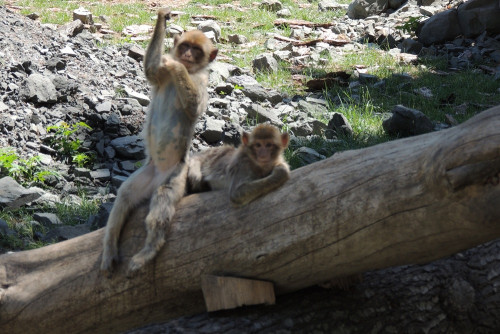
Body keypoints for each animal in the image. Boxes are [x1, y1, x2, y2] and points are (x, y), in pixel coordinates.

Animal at [100, 8, 218, 276]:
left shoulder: (202, 82)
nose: (186, 55)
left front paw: (176, 65)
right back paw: (110, 247)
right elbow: (151, 70)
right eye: (185, 46)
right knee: (124, 197)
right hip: (147, 173)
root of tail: (158, 174)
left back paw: (148, 252)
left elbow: (195, 108)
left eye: (196, 51)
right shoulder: (161, 75)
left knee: (160, 205)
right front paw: (163, 18)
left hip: (175, 175)